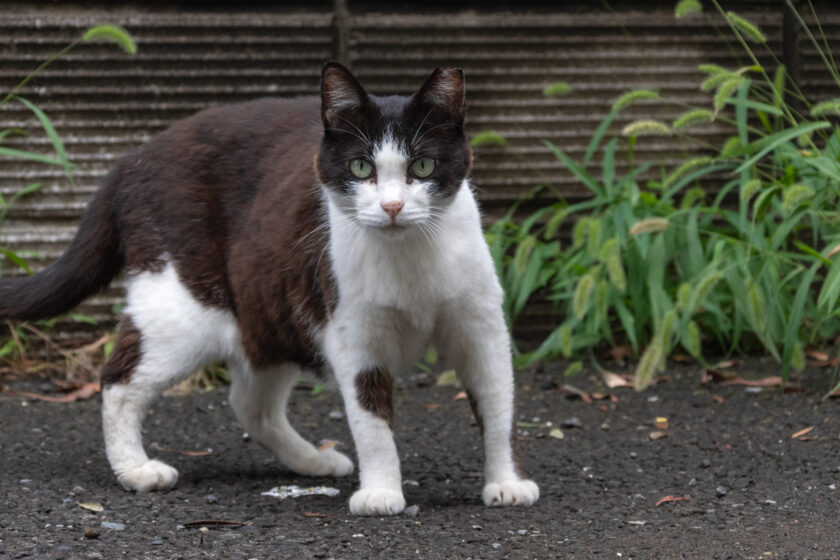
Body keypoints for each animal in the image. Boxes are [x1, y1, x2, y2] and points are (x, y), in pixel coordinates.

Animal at [0, 63, 540, 516]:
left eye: (423, 167)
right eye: (361, 168)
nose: (391, 207)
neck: (409, 258)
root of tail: (129, 161)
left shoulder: (481, 328)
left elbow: (500, 405)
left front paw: (506, 482)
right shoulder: (354, 335)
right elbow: (371, 420)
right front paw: (383, 492)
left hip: (270, 308)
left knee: (249, 401)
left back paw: (314, 462)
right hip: (185, 304)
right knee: (118, 379)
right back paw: (136, 469)